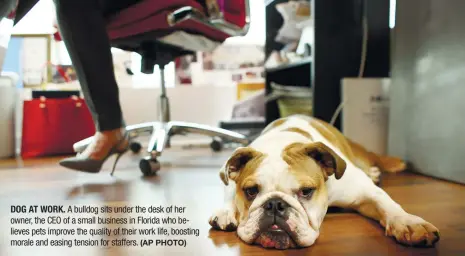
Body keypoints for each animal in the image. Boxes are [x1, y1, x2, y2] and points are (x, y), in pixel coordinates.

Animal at [208, 114, 440, 250]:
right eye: (251, 191)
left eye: (306, 191)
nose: (274, 204)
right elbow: (229, 192)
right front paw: (226, 212)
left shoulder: (366, 192)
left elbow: (387, 204)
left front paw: (409, 222)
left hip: (360, 154)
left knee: (374, 157)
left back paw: (384, 167)